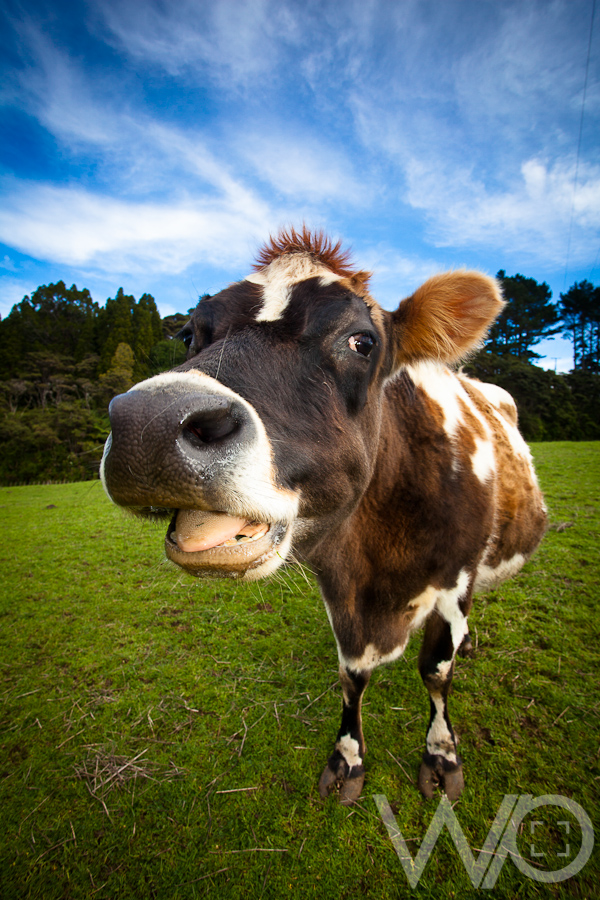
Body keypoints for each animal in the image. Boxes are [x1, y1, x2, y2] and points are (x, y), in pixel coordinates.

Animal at [101, 227, 547, 804]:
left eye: (363, 341)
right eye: (188, 335)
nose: (148, 425)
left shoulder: (456, 579)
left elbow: (435, 672)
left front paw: (442, 755)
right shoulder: (340, 586)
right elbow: (351, 677)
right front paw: (348, 760)